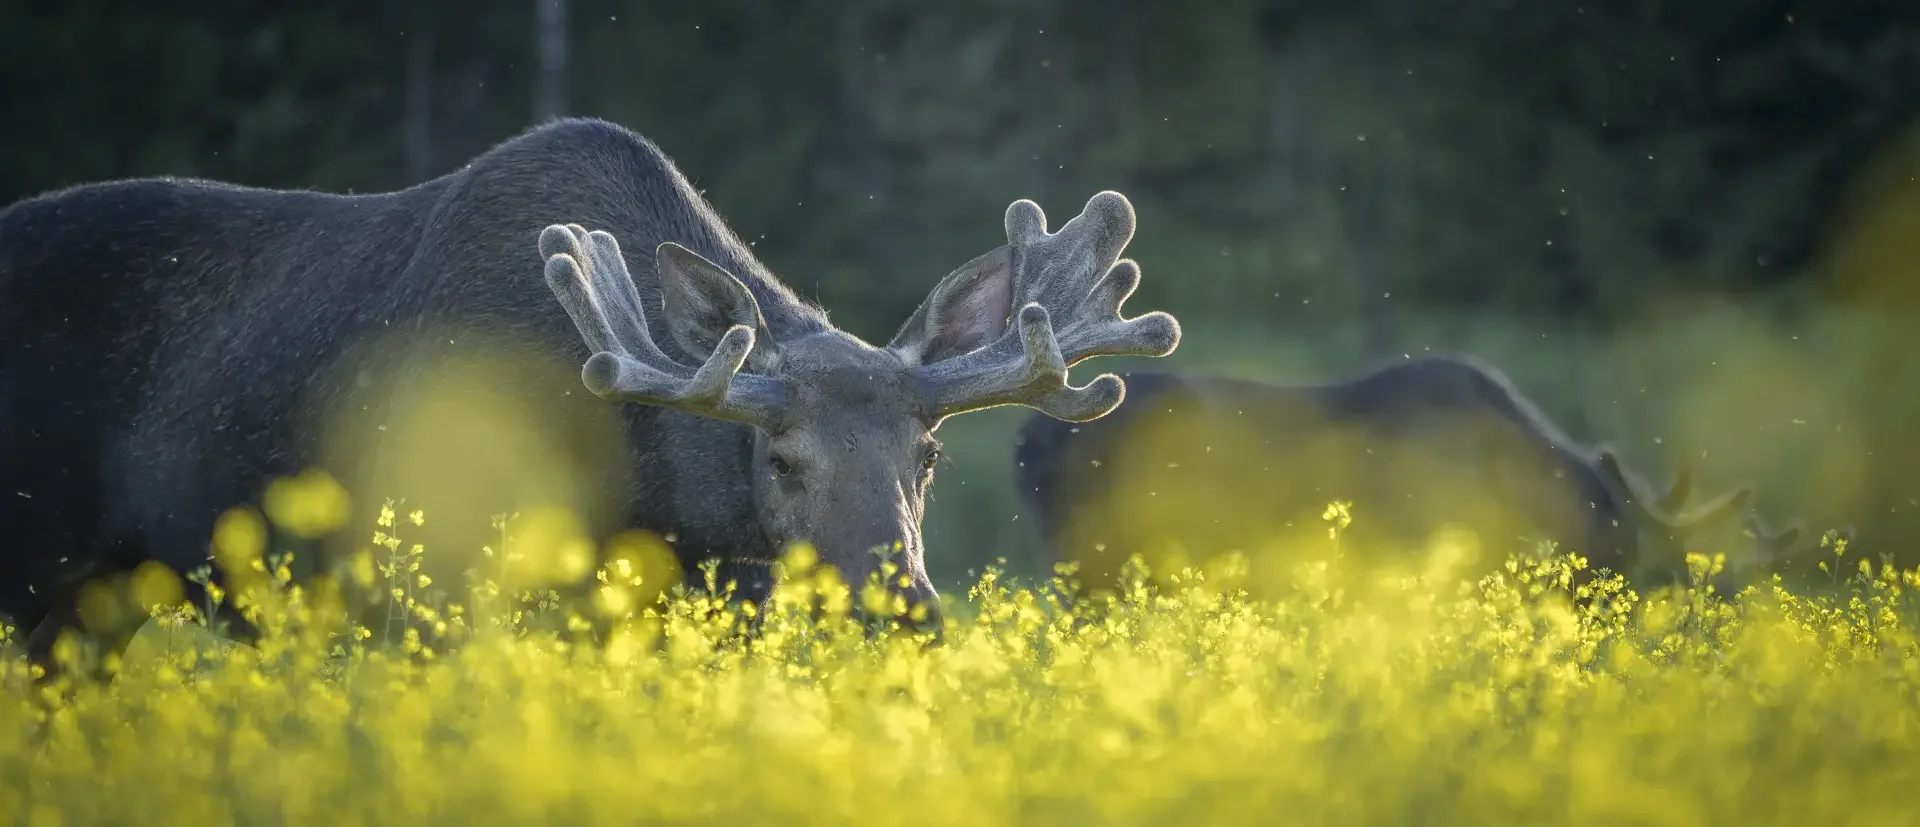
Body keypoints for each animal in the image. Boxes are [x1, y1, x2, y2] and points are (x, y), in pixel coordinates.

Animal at [0, 116, 1180, 670]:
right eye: (781, 457)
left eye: (927, 456)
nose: (901, 608)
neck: (648, 499)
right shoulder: (427, 590)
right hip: (31, 558)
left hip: (105, 593)